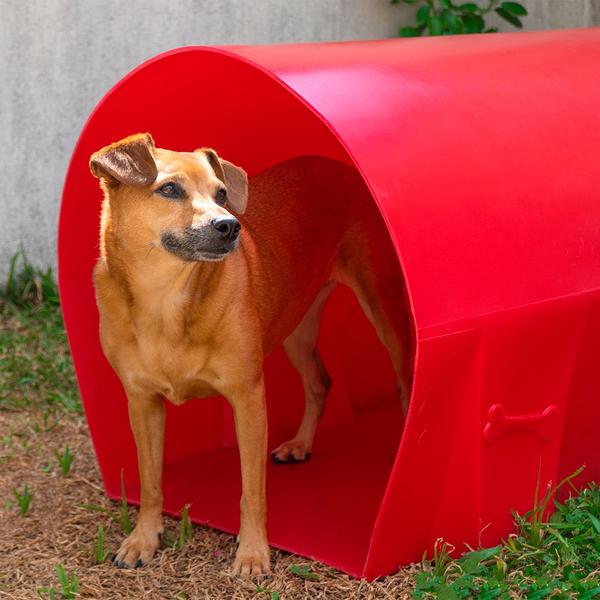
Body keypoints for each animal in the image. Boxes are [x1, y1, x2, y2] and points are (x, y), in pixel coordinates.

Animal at [90, 132, 412, 576]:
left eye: (222, 194)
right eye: (169, 189)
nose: (228, 225)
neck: (166, 300)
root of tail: (335, 165)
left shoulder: (248, 398)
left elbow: (252, 490)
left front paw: (253, 553)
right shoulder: (142, 402)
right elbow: (151, 479)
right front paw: (143, 539)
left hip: (382, 306)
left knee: (403, 379)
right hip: (297, 327)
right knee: (320, 380)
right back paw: (301, 444)